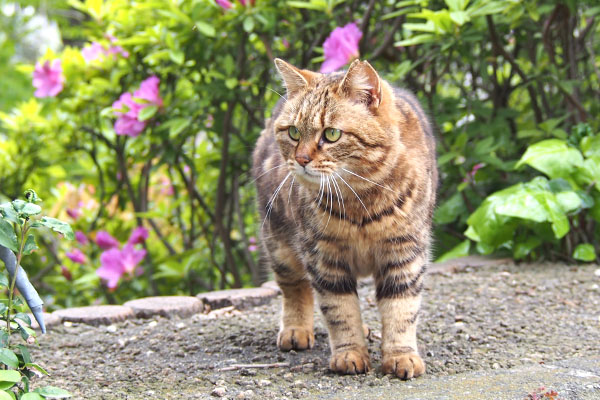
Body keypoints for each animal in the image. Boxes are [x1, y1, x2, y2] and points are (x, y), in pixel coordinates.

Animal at [251, 58, 438, 378]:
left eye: (332, 134)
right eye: (294, 132)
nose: (301, 159)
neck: (360, 203)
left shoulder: (405, 251)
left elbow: (401, 309)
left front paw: (401, 355)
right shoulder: (323, 255)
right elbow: (340, 309)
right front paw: (349, 353)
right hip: (279, 243)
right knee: (294, 287)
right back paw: (295, 329)